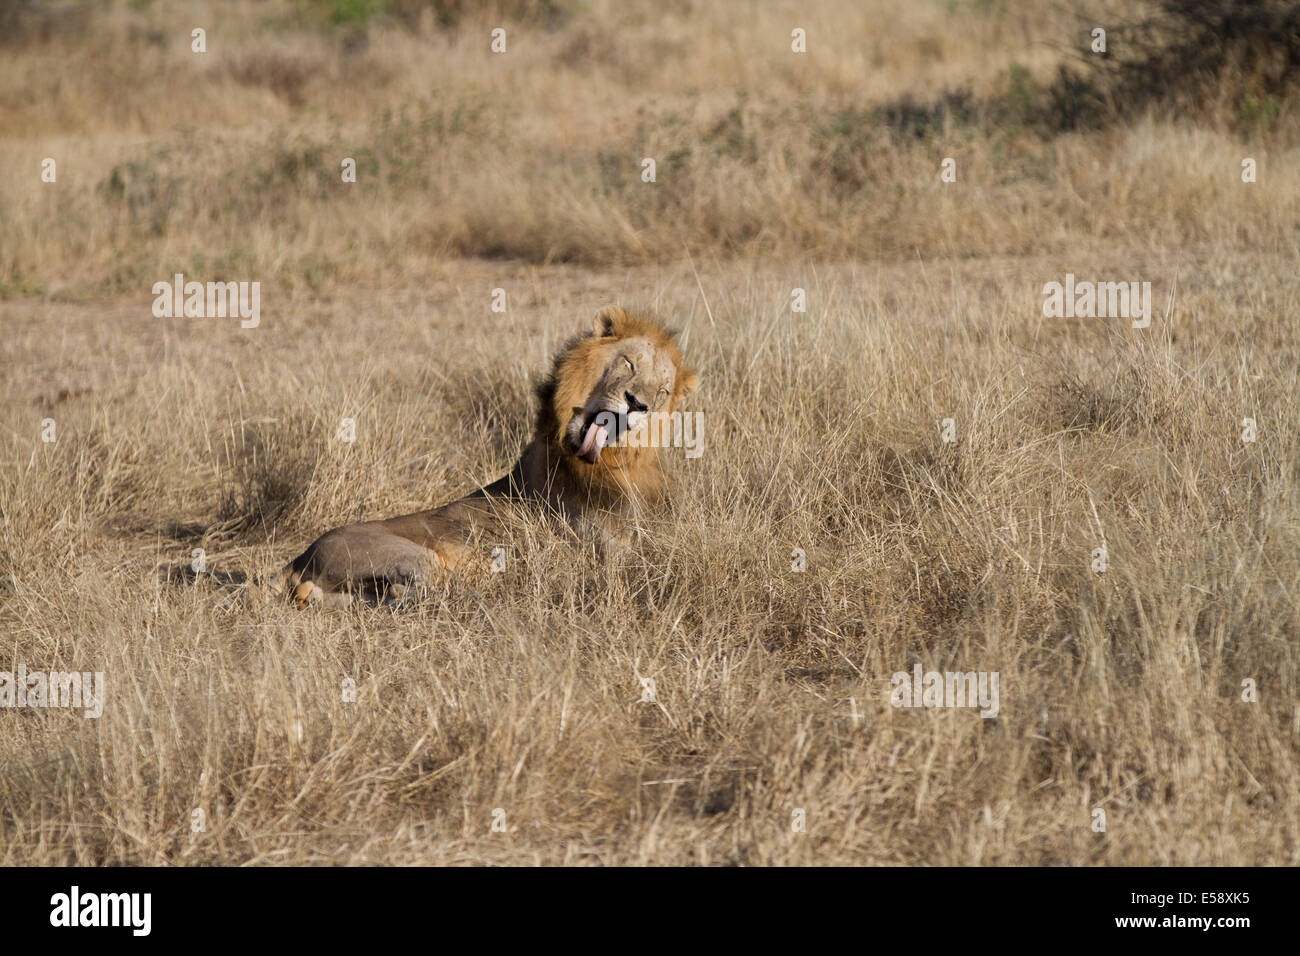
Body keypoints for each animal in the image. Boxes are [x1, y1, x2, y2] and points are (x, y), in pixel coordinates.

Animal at [265, 306, 707, 606]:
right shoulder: (604, 550)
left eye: (663, 391)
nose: (638, 404)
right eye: (628, 363)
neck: (618, 466)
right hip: (415, 560)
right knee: (410, 594)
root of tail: (299, 558)